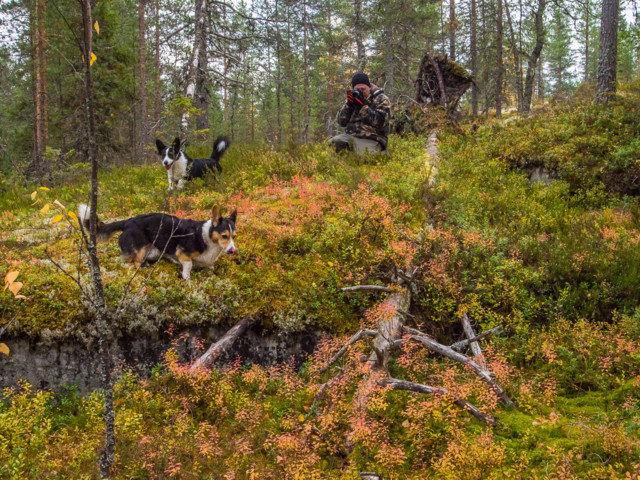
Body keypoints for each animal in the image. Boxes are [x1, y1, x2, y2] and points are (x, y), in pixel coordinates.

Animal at [79, 203, 239, 280]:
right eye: (224, 236)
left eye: (234, 236)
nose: (233, 251)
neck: (209, 239)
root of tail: (127, 221)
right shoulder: (183, 253)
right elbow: (188, 266)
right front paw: (187, 279)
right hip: (141, 248)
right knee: (135, 262)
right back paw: (143, 270)